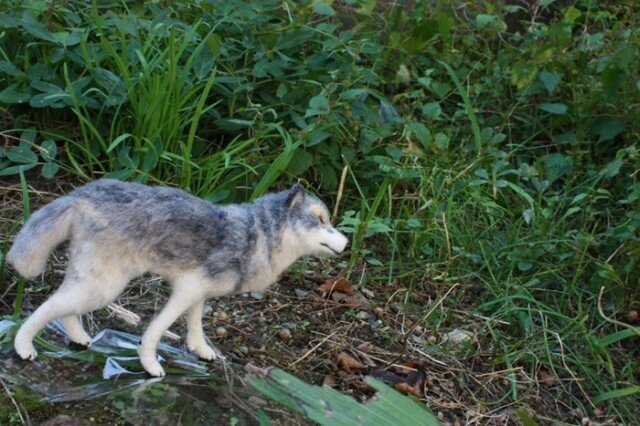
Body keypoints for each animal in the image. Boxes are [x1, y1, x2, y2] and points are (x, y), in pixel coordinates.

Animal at [7, 180, 348, 376]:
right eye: (320, 221)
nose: (346, 244)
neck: (258, 234)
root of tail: (79, 195)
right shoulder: (185, 291)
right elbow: (156, 331)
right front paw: (150, 365)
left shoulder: (198, 293)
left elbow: (195, 326)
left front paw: (202, 352)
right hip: (105, 286)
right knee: (49, 304)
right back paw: (23, 347)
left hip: (93, 282)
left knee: (65, 305)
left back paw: (77, 338)